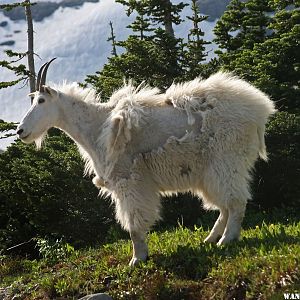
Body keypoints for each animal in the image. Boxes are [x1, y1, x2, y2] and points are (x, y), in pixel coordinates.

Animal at [16, 59, 274, 266]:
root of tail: (259, 111)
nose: (20, 131)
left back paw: (226, 240)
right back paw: (210, 239)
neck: (96, 127)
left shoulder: (129, 180)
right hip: (209, 172)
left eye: (41, 100)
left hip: (226, 160)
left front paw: (137, 259)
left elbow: (134, 224)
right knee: (224, 205)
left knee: (236, 202)